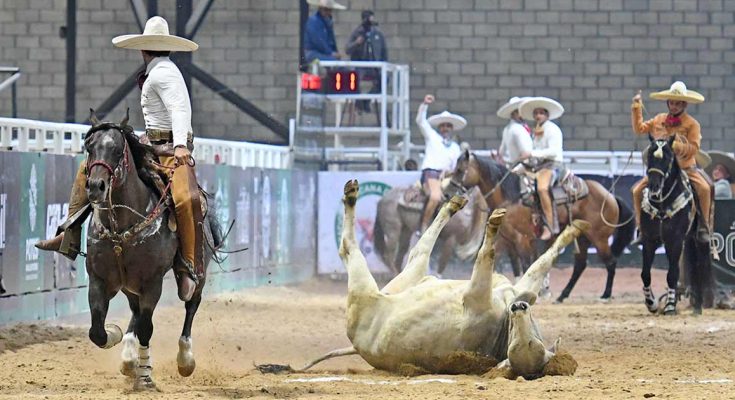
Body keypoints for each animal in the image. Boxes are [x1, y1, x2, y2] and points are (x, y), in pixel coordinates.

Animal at [83, 115, 220, 390]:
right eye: (89, 147)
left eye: (117, 150)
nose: (95, 186)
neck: (122, 228)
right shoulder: (98, 279)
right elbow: (97, 331)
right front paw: (117, 336)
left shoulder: (152, 282)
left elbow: (147, 328)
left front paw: (145, 375)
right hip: (129, 284)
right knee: (135, 311)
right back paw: (128, 356)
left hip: (197, 274)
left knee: (191, 304)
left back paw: (185, 359)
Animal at [274, 180, 588, 378]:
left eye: (531, 347)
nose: (518, 309)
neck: (502, 324)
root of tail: (356, 346)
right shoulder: (523, 289)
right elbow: (540, 264)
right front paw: (571, 231)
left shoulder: (477, 292)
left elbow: (487, 254)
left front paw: (494, 224)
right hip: (406, 280)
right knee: (418, 249)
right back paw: (454, 202)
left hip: (369, 287)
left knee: (354, 247)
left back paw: (352, 196)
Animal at [452, 152, 636, 302]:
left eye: (460, 170)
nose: (449, 192)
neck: (511, 198)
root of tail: (610, 196)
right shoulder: (506, 240)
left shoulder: (521, 240)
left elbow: (526, 264)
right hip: (583, 238)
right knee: (580, 265)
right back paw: (562, 295)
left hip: (599, 238)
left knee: (610, 262)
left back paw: (605, 295)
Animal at [644, 138, 712, 316]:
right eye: (650, 155)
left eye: (667, 158)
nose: (654, 186)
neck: (662, 204)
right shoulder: (649, 240)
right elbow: (645, 273)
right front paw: (652, 303)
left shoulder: (674, 241)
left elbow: (672, 274)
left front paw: (669, 306)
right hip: (687, 241)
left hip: (697, 239)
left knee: (698, 266)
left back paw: (697, 307)